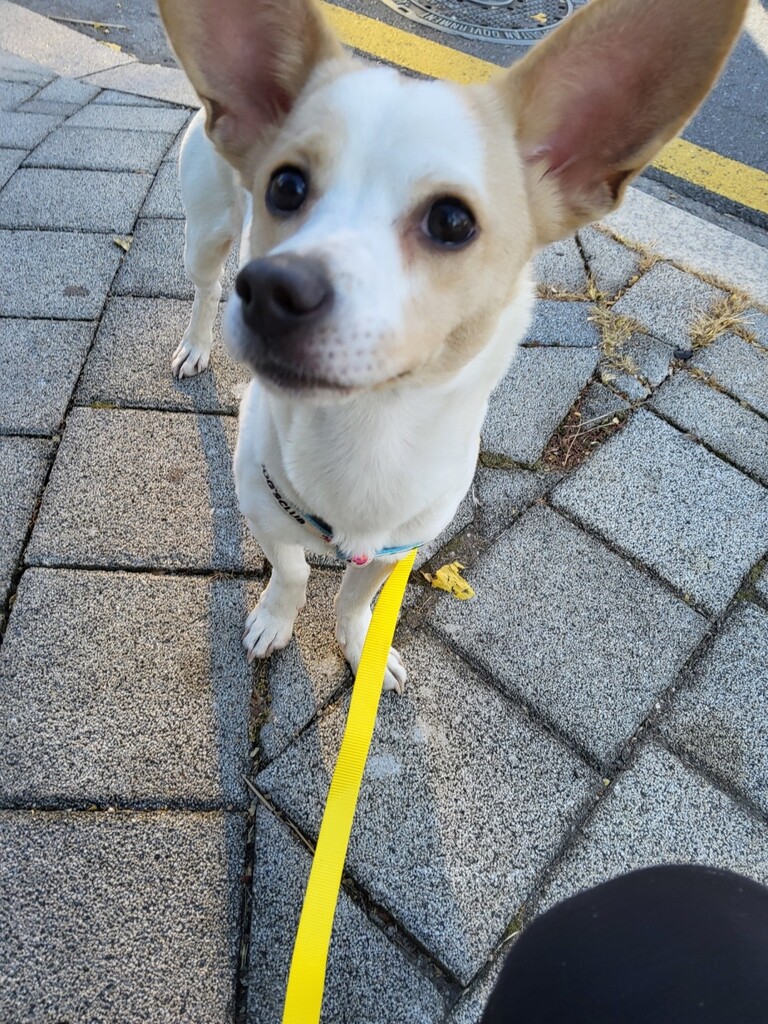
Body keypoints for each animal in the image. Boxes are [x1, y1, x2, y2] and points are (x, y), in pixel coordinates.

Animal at [158, 0, 745, 693]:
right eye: (285, 186)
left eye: (451, 221)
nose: (273, 288)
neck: (368, 432)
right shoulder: (260, 506)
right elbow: (294, 571)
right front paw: (276, 621)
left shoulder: (399, 549)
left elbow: (355, 597)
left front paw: (360, 647)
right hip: (207, 231)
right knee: (205, 287)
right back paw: (196, 345)